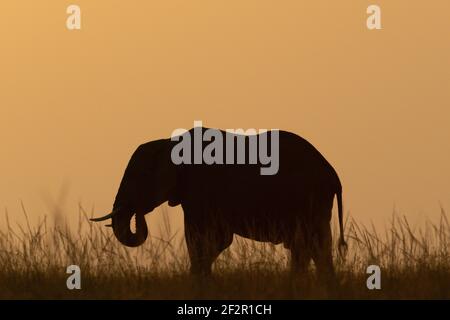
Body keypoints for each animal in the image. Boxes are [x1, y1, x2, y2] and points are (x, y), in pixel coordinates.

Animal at [90, 126, 344, 278]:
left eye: (138, 176)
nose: (137, 212)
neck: (170, 142)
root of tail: (332, 173)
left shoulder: (202, 190)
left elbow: (209, 239)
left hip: (310, 199)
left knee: (312, 245)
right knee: (310, 247)